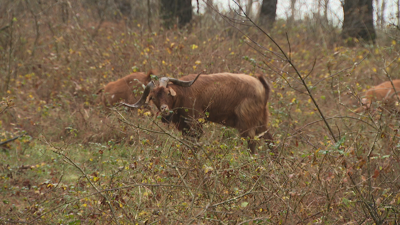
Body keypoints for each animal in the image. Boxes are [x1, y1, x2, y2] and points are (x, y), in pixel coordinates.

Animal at [122, 72, 274, 153]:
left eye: (167, 92)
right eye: (153, 97)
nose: (164, 109)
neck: (182, 94)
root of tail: (261, 86)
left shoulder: (196, 123)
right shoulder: (184, 127)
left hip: (246, 124)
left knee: (252, 144)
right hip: (262, 121)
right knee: (270, 141)